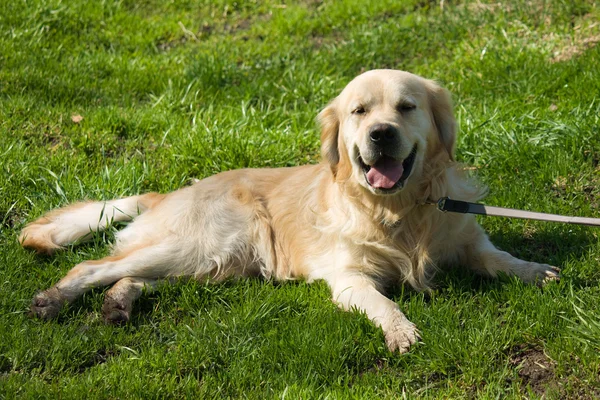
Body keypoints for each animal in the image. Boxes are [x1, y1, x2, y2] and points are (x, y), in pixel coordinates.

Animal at [19, 69, 564, 354]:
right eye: (359, 112)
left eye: (407, 107)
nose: (380, 134)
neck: (399, 212)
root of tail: (167, 193)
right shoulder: (348, 276)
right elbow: (382, 303)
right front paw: (401, 331)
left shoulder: (465, 237)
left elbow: (499, 259)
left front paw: (536, 271)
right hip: (212, 241)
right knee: (93, 266)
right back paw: (53, 300)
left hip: (214, 262)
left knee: (132, 275)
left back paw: (118, 303)